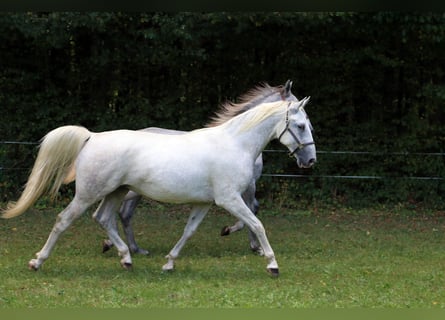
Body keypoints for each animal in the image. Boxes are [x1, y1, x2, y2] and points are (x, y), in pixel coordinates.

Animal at [3, 98, 316, 276]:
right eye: (300, 126)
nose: (310, 160)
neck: (234, 144)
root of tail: (92, 137)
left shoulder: (205, 203)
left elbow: (188, 232)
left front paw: (169, 263)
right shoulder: (230, 200)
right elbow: (257, 224)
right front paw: (272, 264)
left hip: (116, 192)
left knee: (104, 219)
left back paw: (127, 258)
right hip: (90, 193)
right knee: (63, 220)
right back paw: (38, 262)